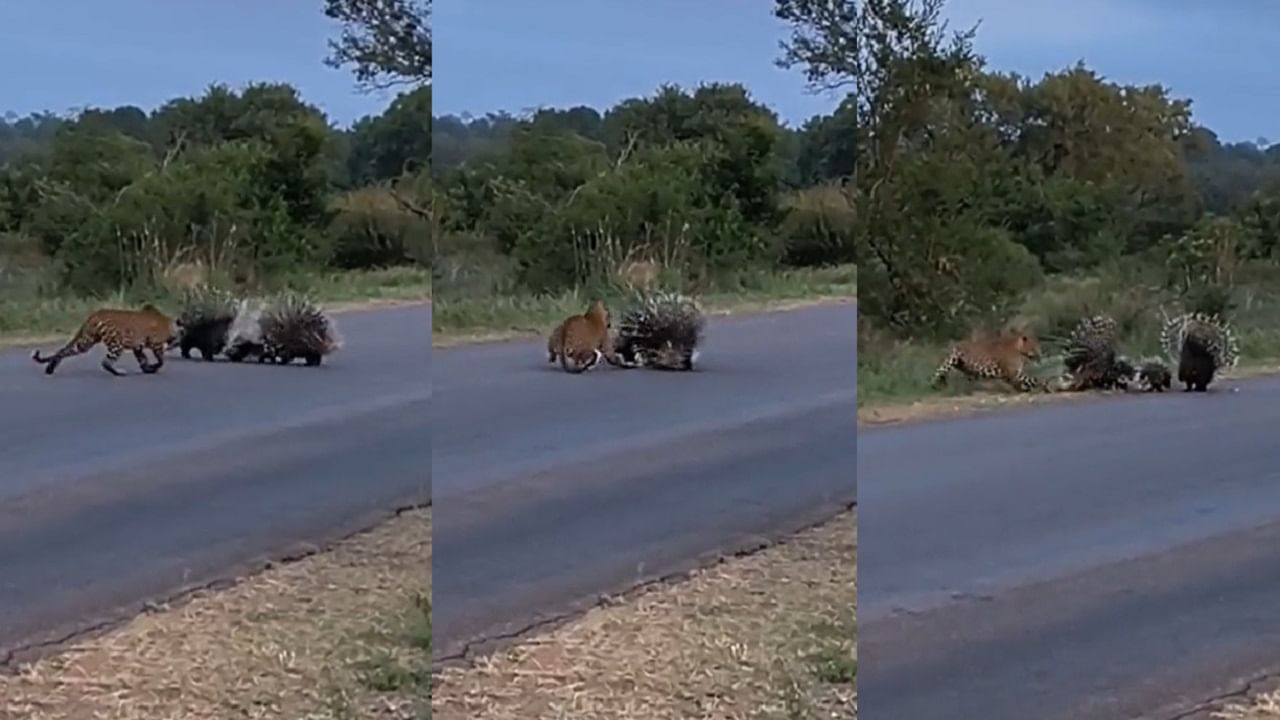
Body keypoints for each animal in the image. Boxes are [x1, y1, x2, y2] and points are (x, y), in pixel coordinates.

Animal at [32, 302, 176, 376]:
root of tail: (95, 314)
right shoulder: (156, 344)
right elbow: (161, 360)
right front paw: (154, 367)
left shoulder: (138, 348)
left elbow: (143, 359)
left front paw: (148, 369)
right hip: (116, 343)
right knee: (105, 362)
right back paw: (119, 372)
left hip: (86, 340)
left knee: (63, 350)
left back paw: (50, 368)